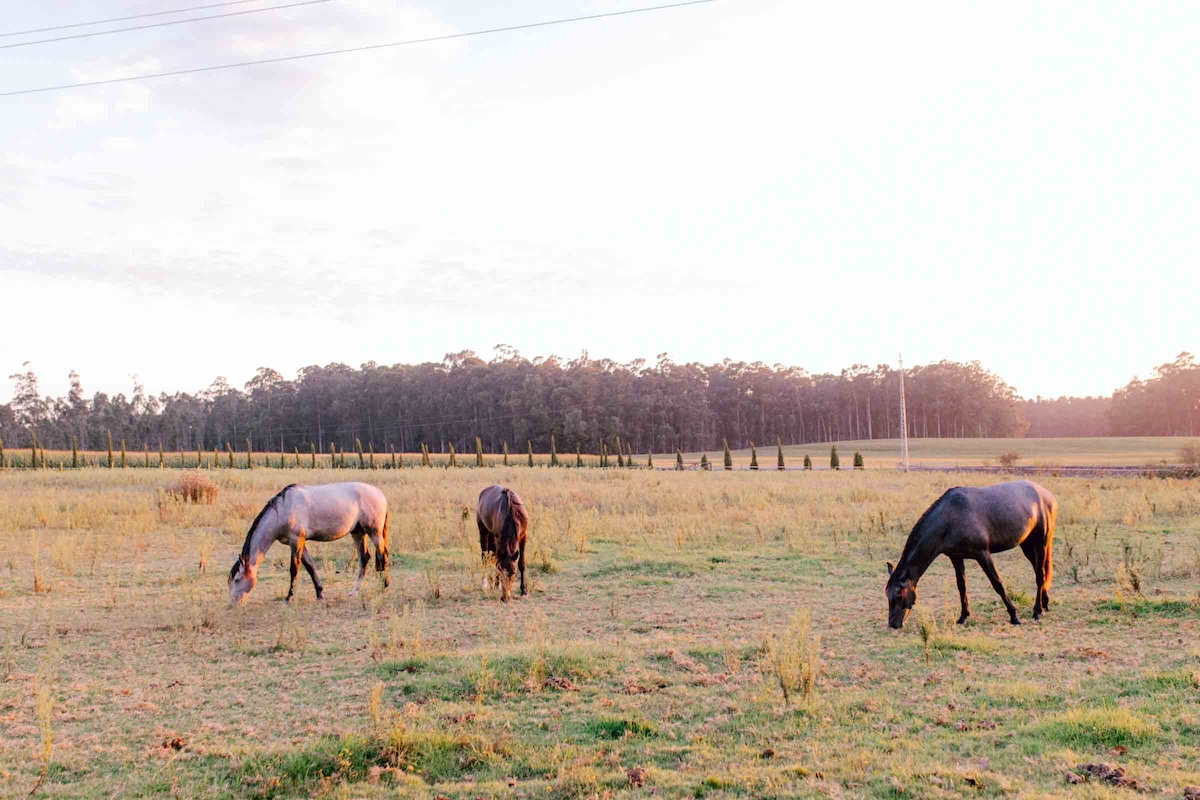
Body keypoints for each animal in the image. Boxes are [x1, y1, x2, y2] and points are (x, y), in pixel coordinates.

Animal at [229, 482, 388, 606]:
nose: (232, 604)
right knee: (364, 558)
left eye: (236, 579)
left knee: (383, 556)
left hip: (374, 532)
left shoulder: (296, 541)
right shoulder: (299, 543)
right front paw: (320, 594)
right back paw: (354, 592)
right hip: (358, 532)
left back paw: (384, 587)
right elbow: (310, 567)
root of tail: (380, 494)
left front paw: (289, 597)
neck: (285, 507)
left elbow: (294, 569)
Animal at [888, 482, 1056, 633]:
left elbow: (997, 584)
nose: (893, 624)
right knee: (1038, 571)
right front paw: (963, 616)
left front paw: (1013, 616)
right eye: (887, 594)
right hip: (1026, 545)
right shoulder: (956, 557)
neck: (950, 517)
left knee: (1040, 575)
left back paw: (1037, 611)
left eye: (899, 594)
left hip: (1040, 543)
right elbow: (961, 585)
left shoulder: (982, 554)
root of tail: (1048, 495)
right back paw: (1044, 604)